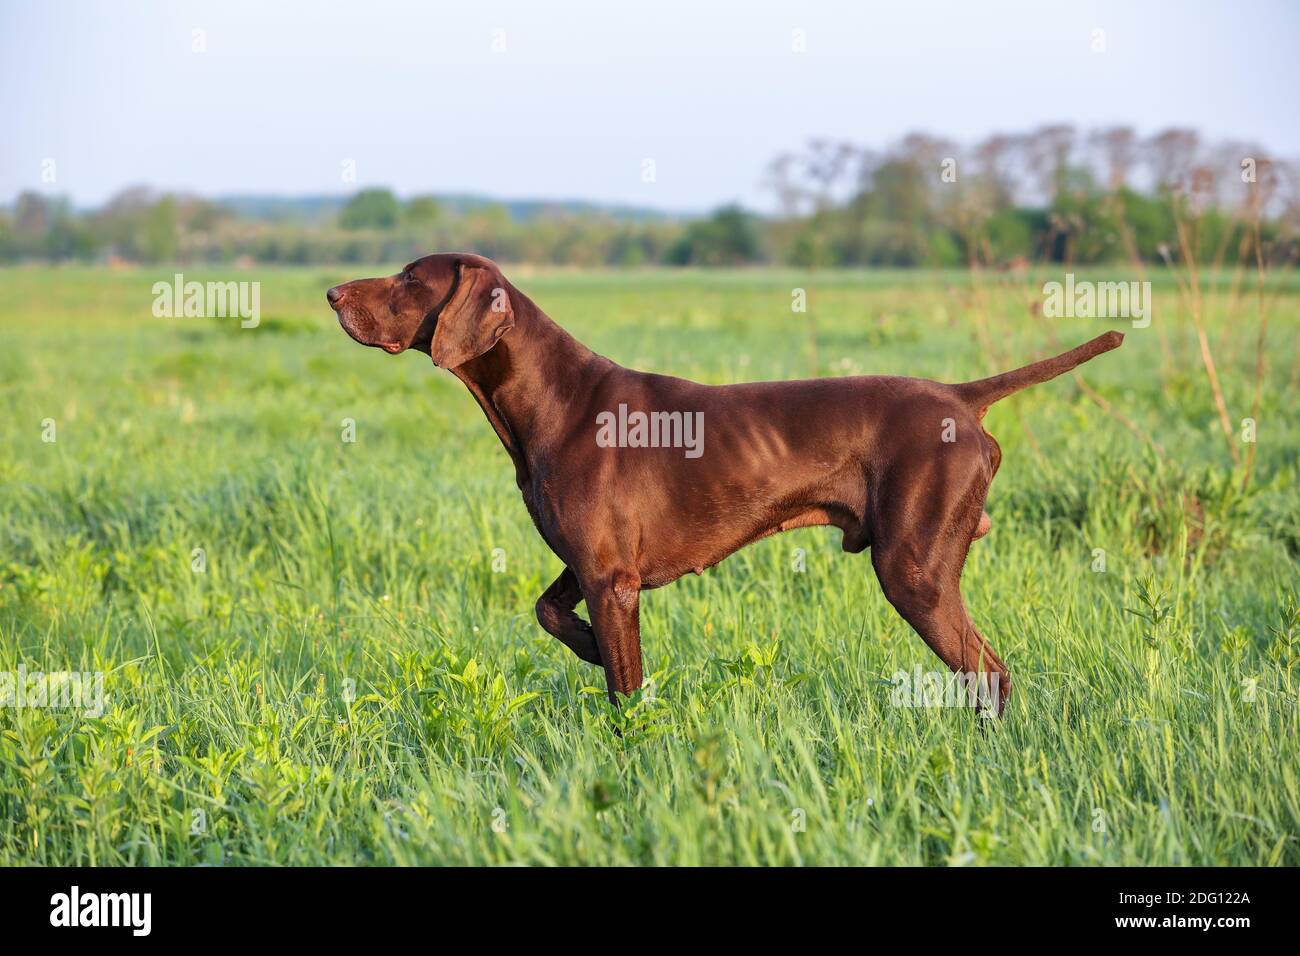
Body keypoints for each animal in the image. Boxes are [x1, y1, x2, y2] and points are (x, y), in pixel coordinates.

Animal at [322, 254, 1118, 717]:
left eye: (408, 279)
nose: (330, 292)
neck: (552, 399)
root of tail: (960, 397)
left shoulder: (612, 580)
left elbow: (625, 693)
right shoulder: (591, 567)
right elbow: (548, 612)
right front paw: (584, 645)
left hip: (913, 571)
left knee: (989, 673)